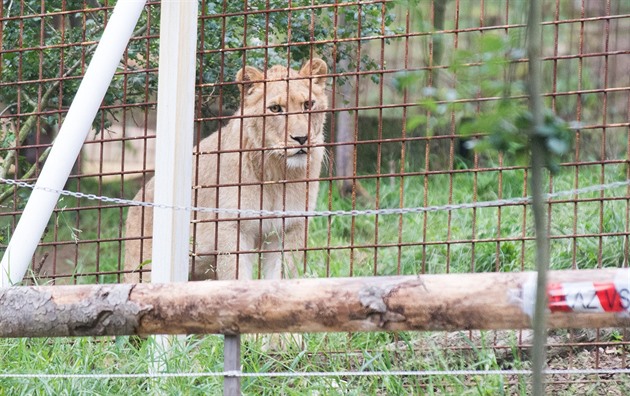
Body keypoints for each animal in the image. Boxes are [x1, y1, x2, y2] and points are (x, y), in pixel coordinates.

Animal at [124, 58, 330, 284]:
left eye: (308, 104)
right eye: (275, 108)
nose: (302, 138)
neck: (276, 173)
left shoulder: (291, 226)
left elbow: (283, 274)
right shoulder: (231, 227)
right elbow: (237, 275)